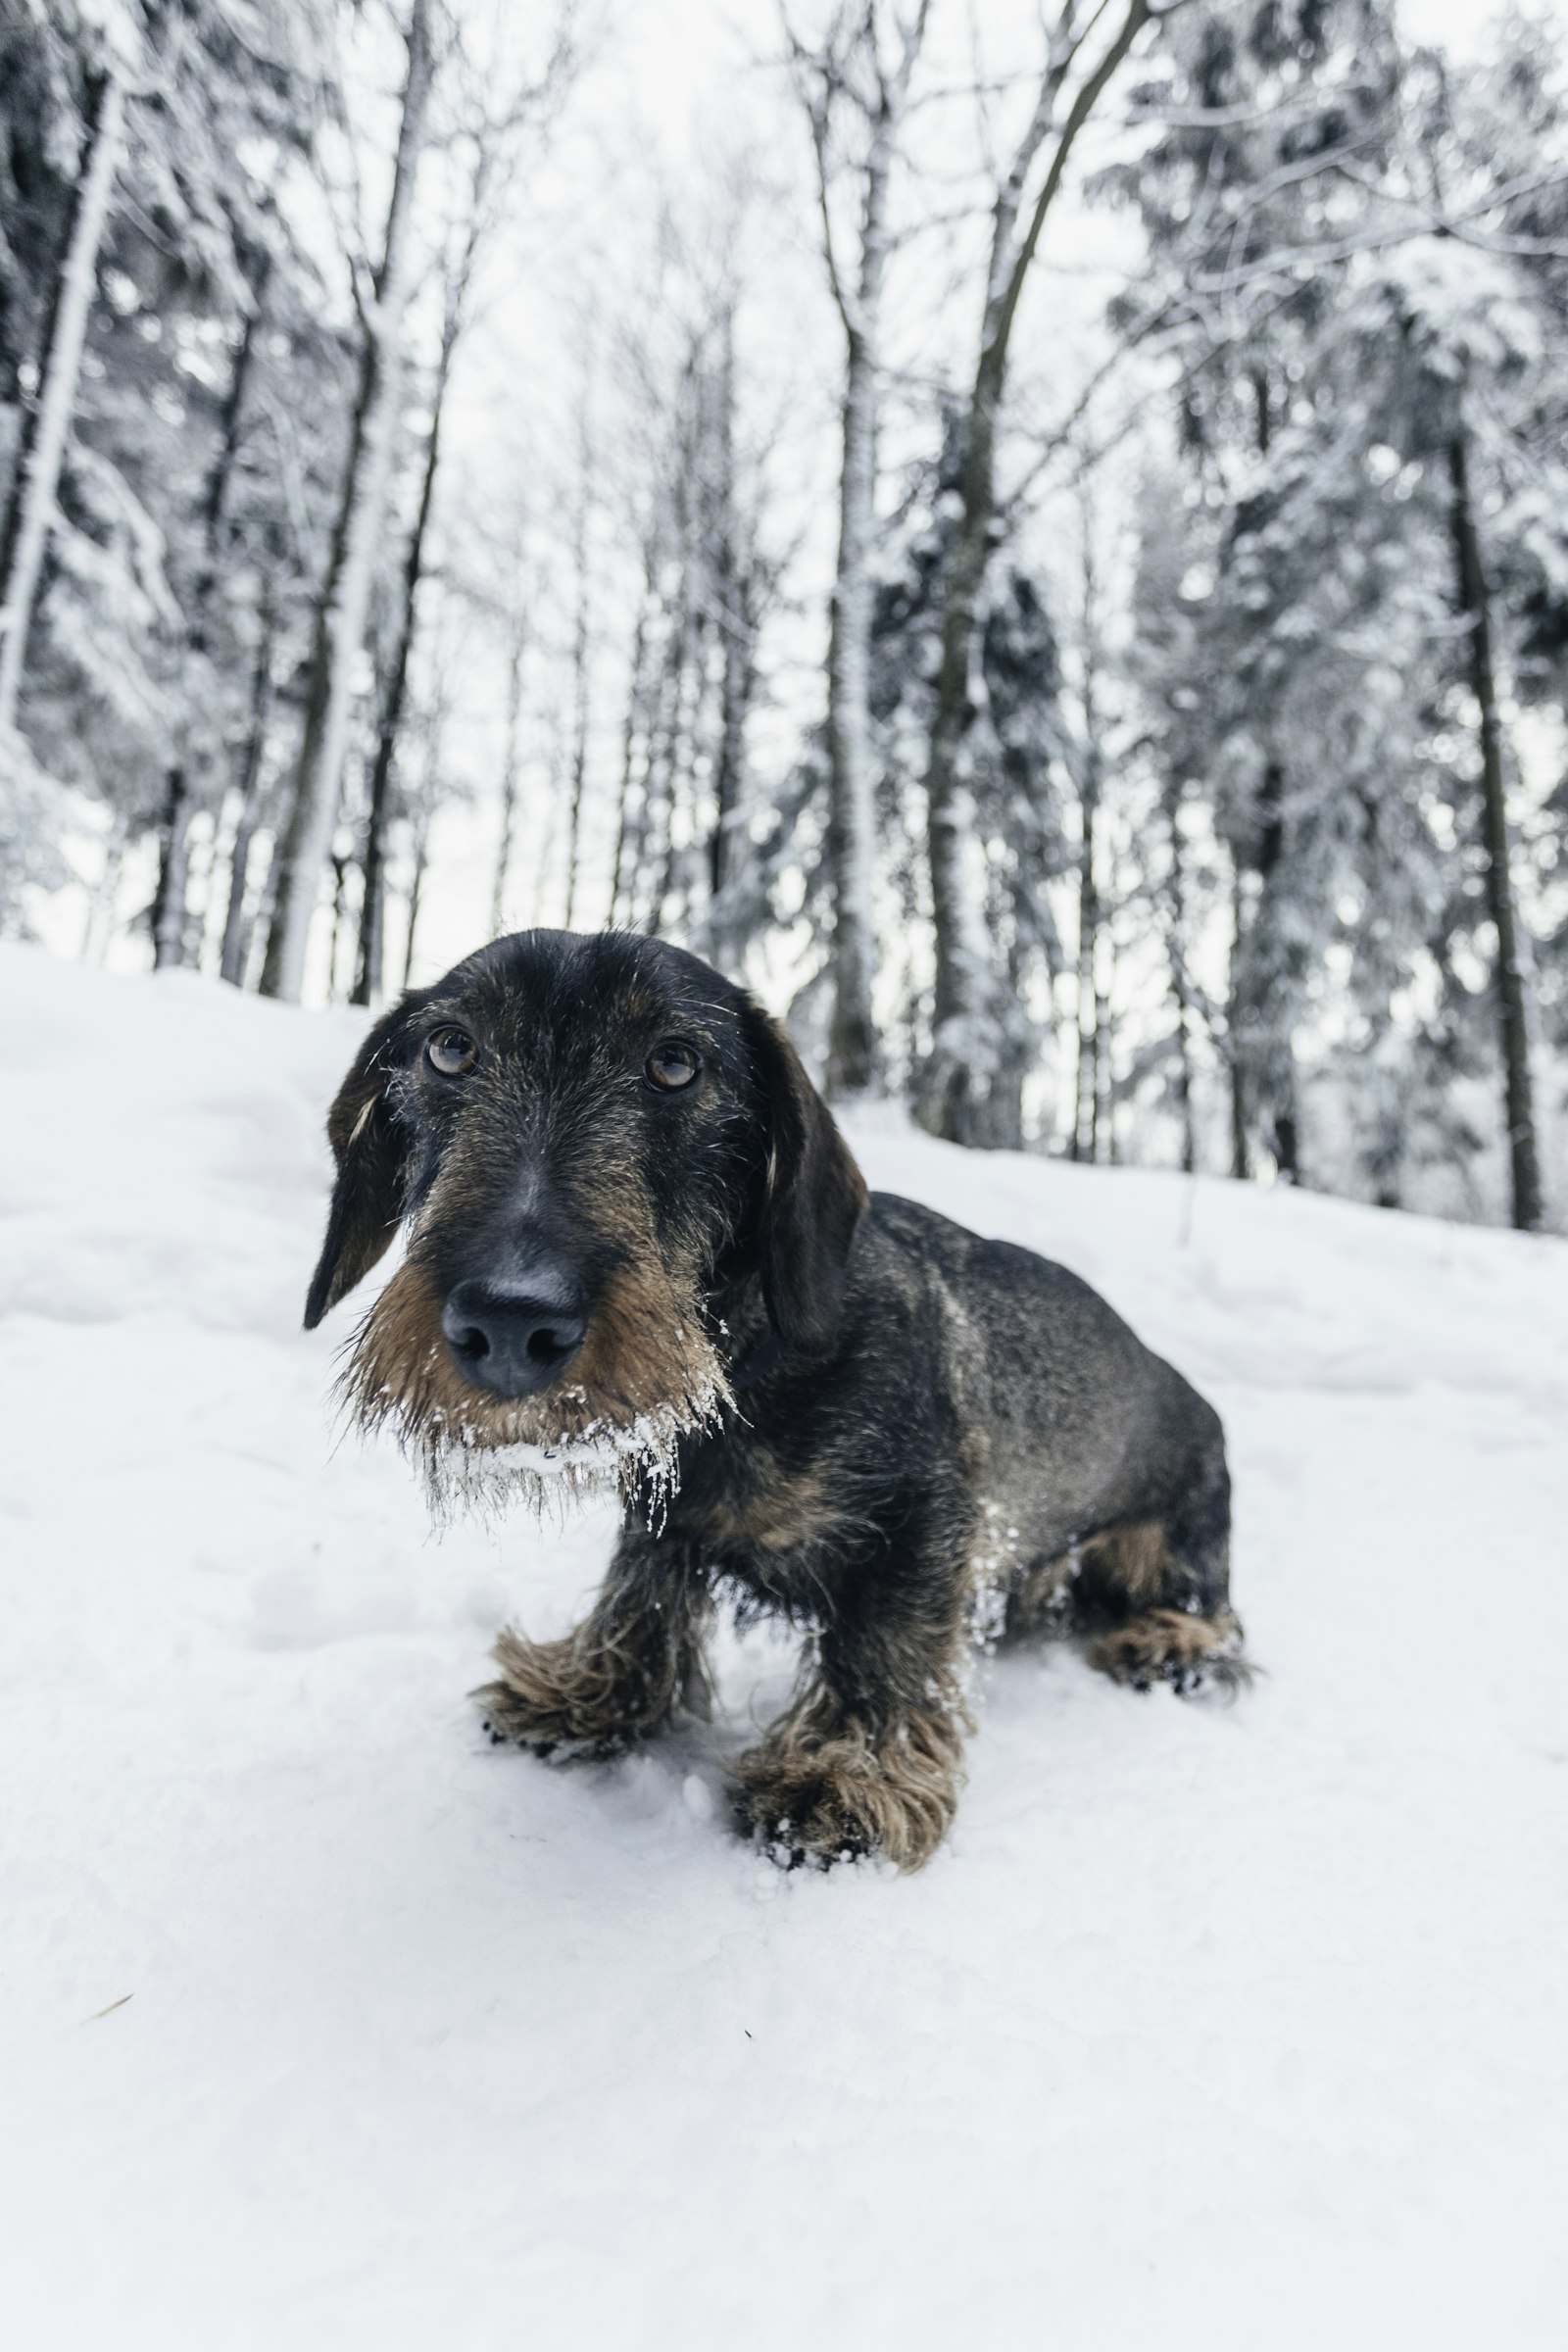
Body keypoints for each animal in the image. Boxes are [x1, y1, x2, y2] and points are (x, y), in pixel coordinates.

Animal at [310, 926, 1250, 1862]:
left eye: (676, 1064)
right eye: (449, 1048)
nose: (510, 1321)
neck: (740, 1373)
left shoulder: (926, 1518)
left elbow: (883, 1644)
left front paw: (846, 1777)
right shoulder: (663, 1507)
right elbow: (641, 1587)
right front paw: (589, 1690)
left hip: (1176, 1544)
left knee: (1218, 1618)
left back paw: (1169, 1644)